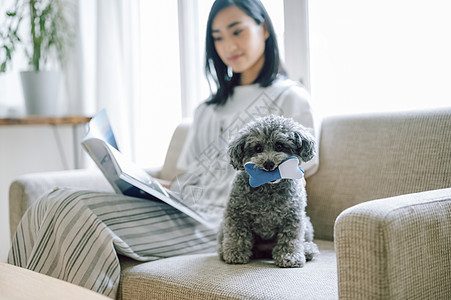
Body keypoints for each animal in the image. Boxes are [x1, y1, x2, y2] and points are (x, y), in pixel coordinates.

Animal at [218, 114, 318, 268]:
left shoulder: (292, 216)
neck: (268, 188)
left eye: (279, 145)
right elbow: (237, 235)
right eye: (258, 148)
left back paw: (307, 250)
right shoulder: (236, 213)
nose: (269, 164)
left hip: (306, 224)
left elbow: (290, 238)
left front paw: (289, 257)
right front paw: (235, 254)